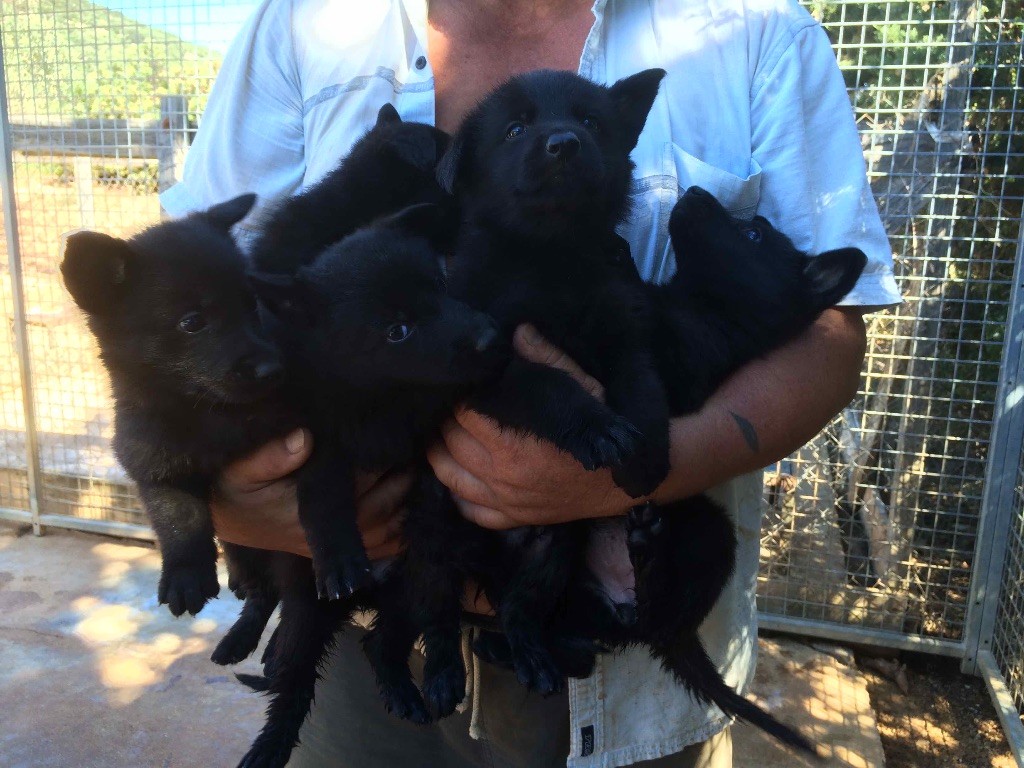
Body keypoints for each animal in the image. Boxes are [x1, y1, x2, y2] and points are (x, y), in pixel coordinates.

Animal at [62, 196, 299, 618]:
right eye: (192, 322)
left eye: (252, 306)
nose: (273, 369)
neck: (208, 412)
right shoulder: (154, 463)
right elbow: (179, 517)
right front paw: (185, 575)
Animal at [235, 205, 499, 768]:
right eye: (397, 330)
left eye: (442, 283)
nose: (490, 337)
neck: (385, 400)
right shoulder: (320, 440)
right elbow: (322, 493)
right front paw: (338, 557)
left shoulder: (428, 456)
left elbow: (436, 526)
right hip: (309, 613)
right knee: (293, 687)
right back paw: (268, 747)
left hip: (405, 594)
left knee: (391, 637)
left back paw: (417, 685)